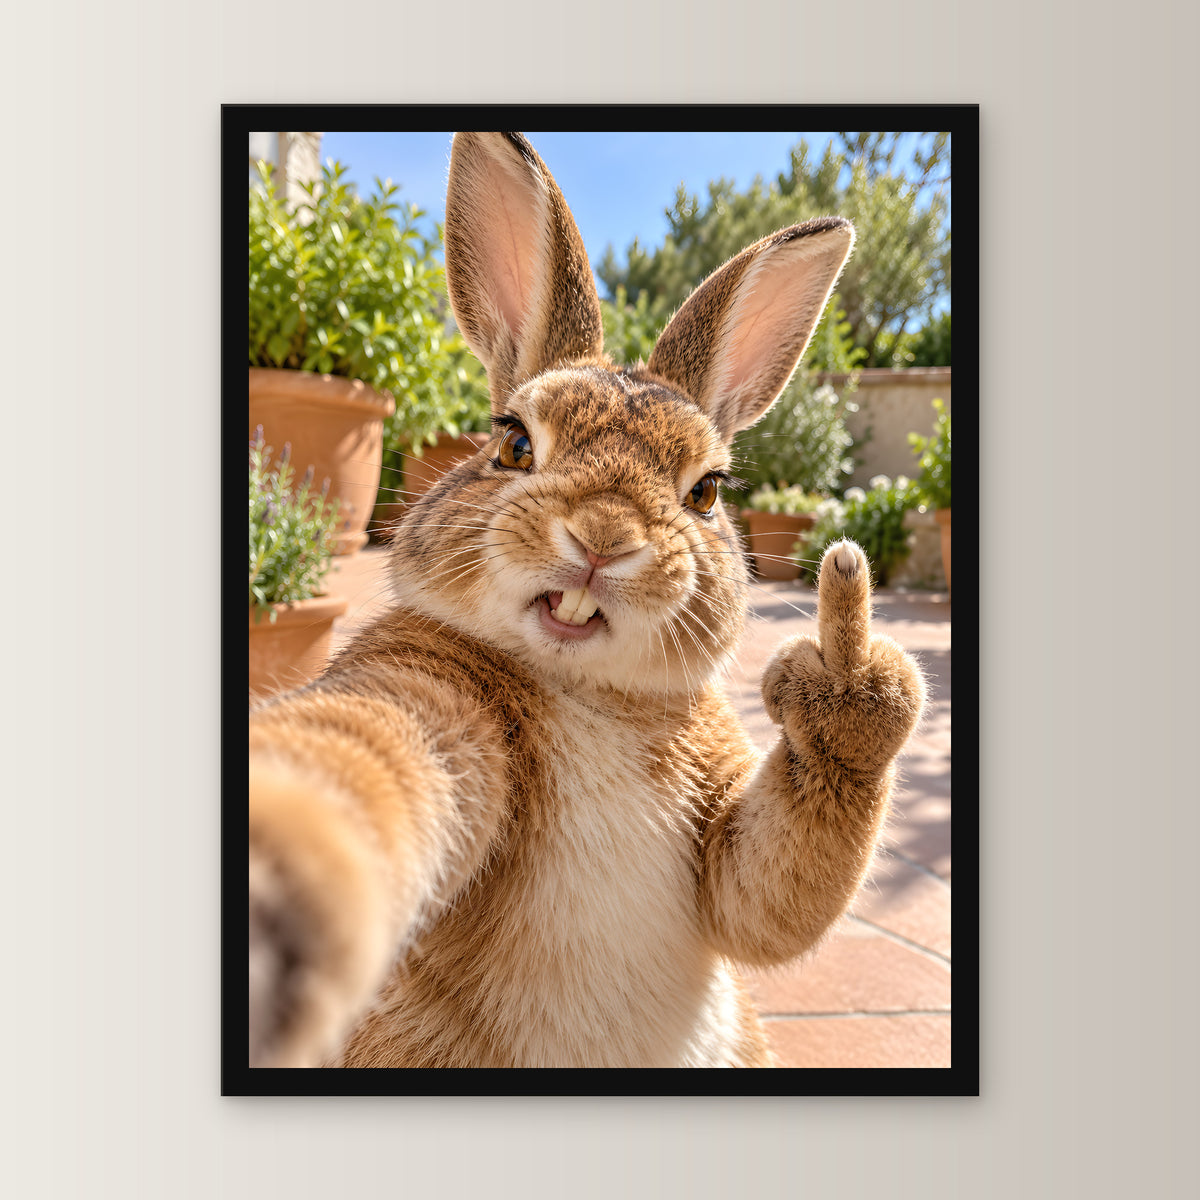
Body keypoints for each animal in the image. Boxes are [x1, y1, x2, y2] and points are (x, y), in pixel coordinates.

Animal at [247, 131, 927, 1069]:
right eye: (512, 443)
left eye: (706, 492)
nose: (603, 537)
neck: (587, 694)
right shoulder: (426, 693)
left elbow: (770, 900)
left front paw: (847, 682)